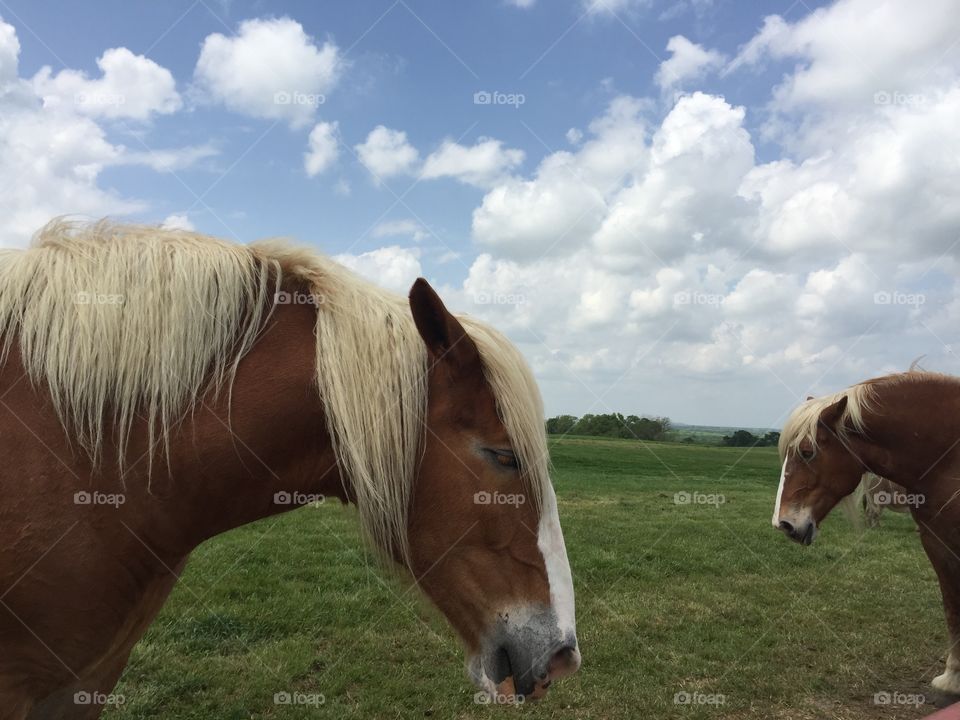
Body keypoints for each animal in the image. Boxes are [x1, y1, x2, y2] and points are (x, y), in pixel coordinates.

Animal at [776, 368, 960, 696]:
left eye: (807, 452)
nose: (783, 523)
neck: (948, 454)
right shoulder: (937, 541)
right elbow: (952, 605)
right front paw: (952, 677)